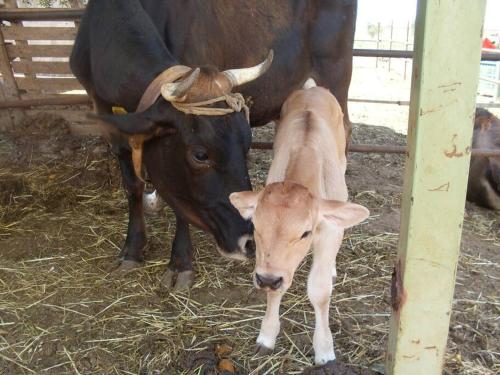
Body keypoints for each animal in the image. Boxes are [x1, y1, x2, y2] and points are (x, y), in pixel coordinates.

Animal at [229, 81, 368, 366]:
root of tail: (313, 88)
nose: (267, 279)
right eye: (256, 227)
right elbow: (275, 291)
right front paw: (267, 336)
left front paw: (324, 349)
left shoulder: (329, 232)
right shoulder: (271, 267)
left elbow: (320, 291)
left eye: (305, 233)